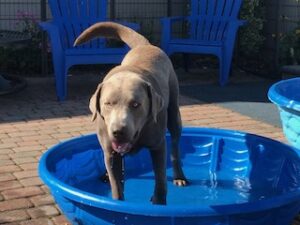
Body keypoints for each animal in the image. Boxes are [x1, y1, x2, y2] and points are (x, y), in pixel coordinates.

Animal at [74, 22, 188, 205]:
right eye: (108, 103)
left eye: (136, 104)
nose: (118, 131)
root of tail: (145, 45)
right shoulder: (110, 152)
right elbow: (116, 185)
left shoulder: (158, 145)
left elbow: (160, 179)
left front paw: (158, 202)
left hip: (173, 111)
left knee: (175, 147)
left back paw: (179, 177)